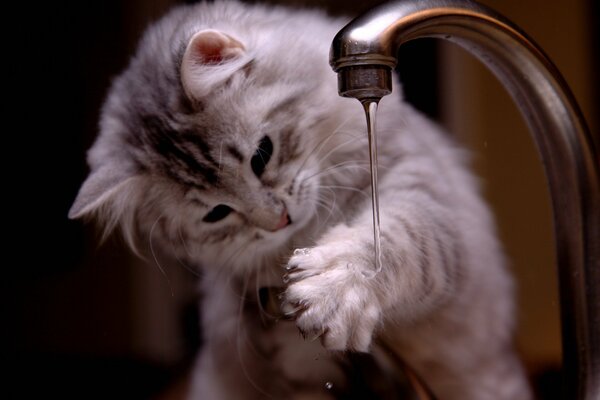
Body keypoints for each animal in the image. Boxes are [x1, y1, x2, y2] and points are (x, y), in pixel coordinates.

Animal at [69, 0, 528, 400]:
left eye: (261, 155)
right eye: (217, 214)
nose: (278, 220)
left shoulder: (421, 190)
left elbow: (390, 242)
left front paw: (334, 289)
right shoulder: (292, 363)